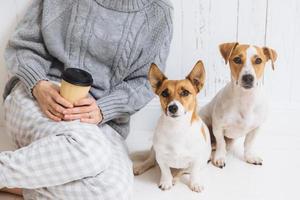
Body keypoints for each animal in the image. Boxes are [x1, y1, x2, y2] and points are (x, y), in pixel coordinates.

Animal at [134, 60, 211, 192]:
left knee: (181, 171)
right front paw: (166, 182)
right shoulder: (161, 156)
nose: (172, 107)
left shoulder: (196, 160)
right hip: (154, 149)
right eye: (164, 93)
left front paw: (194, 183)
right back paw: (141, 167)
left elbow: (194, 172)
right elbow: (165, 171)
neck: (177, 127)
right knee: (151, 161)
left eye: (185, 92)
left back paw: (175, 178)